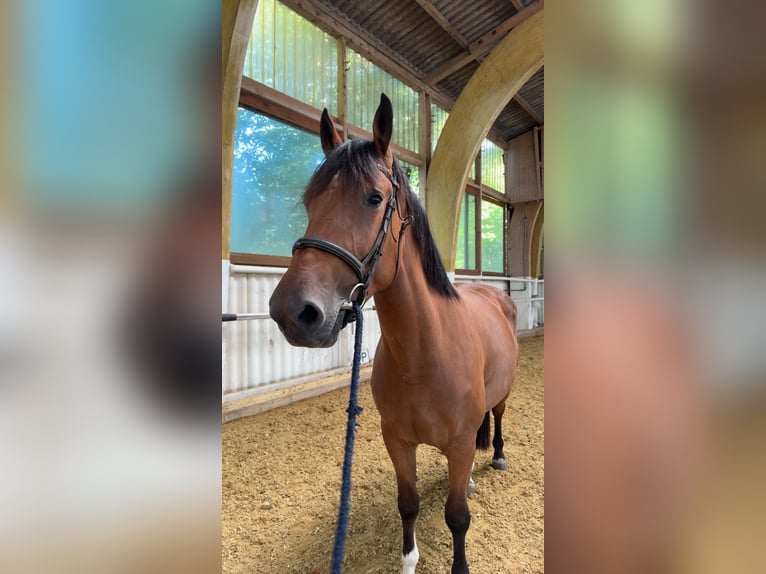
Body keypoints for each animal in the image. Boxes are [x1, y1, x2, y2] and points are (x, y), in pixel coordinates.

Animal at [269, 93, 519, 574]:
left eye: (374, 198)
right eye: (309, 202)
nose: (293, 312)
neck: (422, 356)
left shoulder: (460, 442)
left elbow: (457, 517)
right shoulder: (397, 441)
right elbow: (409, 503)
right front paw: (408, 560)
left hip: (502, 396)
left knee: (495, 417)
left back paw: (496, 457)